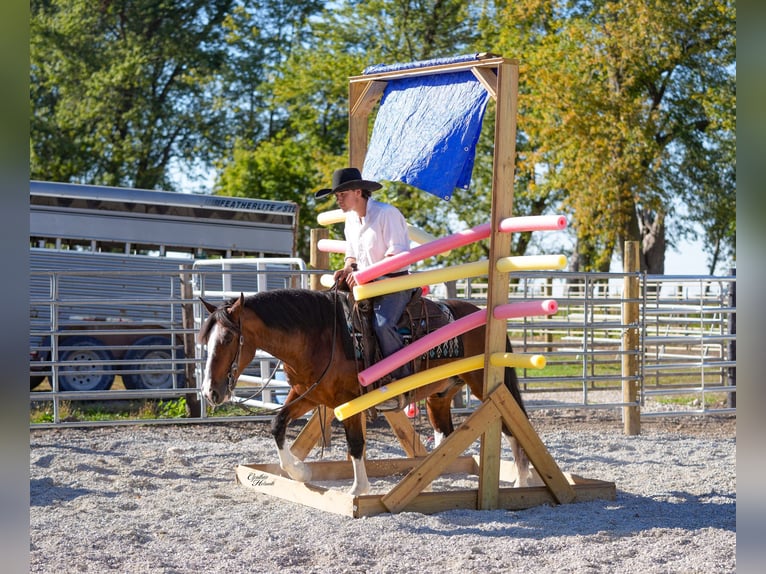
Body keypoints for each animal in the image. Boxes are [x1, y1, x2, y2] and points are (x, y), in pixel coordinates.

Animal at [198, 288, 530, 495]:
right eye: (206, 340)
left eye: (227, 339)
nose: (210, 392)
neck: (319, 335)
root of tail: (482, 314)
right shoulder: (309, 394)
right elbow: (277, 423)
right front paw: (300, 473)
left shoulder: (348, 401)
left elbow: (356, 443)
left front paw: (359, 489)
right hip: (440, 396)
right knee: (445, 436)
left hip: (487, 384)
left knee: (512, 425)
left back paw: (522, 481)